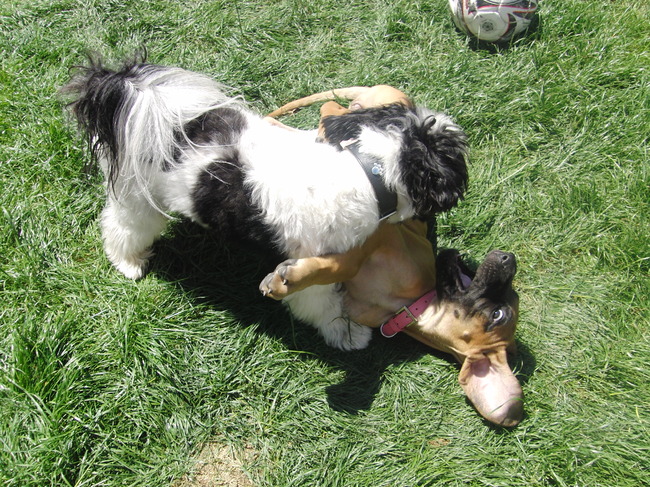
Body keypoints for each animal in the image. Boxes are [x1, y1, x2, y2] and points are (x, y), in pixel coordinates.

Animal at [63, 57, 468, 352]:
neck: (368, 169)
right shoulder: (310, 267)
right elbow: (324, 305)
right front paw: (347, 334)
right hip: (138, 199)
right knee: (122, 227)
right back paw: (129, 262)